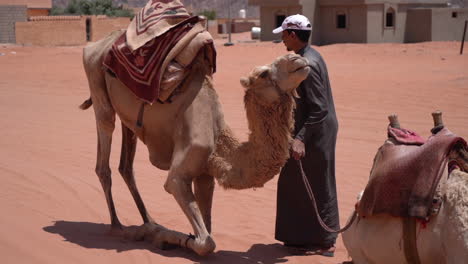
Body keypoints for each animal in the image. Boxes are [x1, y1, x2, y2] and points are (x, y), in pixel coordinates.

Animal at [80, 29, 310, 256]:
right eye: (263, 74)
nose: (298, 59)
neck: (219, 140)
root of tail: (96, 44)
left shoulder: (205, 174)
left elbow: (207, 227)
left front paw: (158, 231)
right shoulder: (182, 170)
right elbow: (206, 242)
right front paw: (161, 236)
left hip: (128, 120)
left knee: (126, 166)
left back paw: (148, 220)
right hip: (97, 82)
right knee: (104, 155)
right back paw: (119, 227)